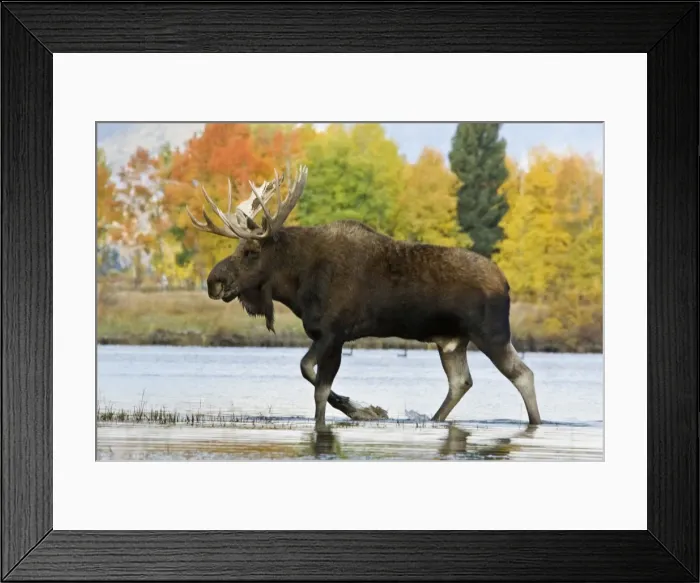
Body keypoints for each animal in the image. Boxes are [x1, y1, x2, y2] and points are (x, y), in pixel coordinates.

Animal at [187, 165, 542, 431]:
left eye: (250, 251)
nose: (213, 281)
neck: (297, 283)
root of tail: (506, 283)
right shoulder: (326, 335)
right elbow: (313, 378)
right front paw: (367, 409)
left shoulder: (333, 333)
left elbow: (314, 381)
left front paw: (361, 410)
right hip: (452, 341)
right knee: (461, 382)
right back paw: (433, 419)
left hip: (491, 333)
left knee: (523, 374)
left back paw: (535, 421)